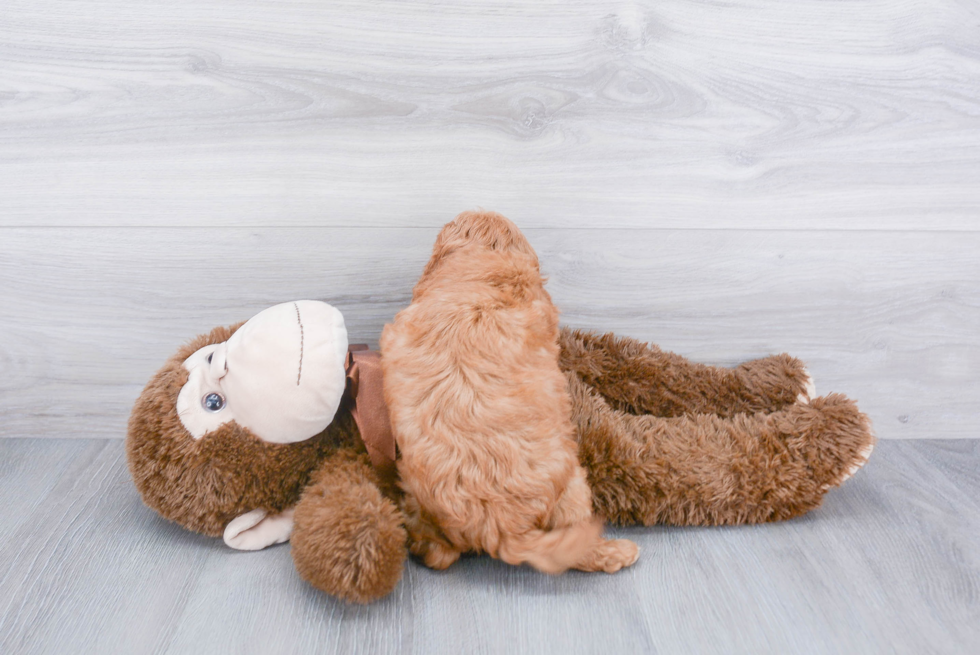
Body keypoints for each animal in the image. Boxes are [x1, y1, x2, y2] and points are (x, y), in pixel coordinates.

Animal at [378, 211, 640, 576]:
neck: (479, 286)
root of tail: (501, 529)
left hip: (414, 491)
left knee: (438, 553)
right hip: (574, 484)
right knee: (575, 543)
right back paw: (617, 551)